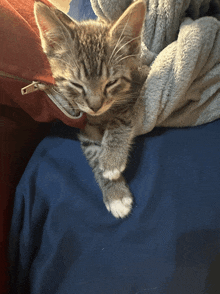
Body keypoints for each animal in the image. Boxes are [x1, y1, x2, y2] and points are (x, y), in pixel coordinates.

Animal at [33, 0, 149, 217]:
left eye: (111, 83)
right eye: (76, 85)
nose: (95, 106)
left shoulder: (140, 85)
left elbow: (120, 118)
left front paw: (111, 158)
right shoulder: (86, 124)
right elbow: (94, 154)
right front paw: (115, 193)